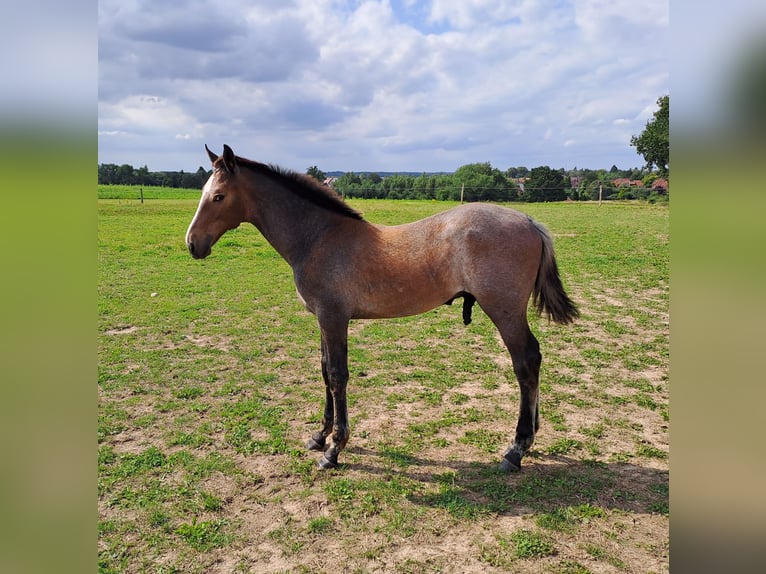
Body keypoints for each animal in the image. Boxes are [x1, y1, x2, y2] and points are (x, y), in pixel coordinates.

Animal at [186, 146, 580, 474]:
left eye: (219, 196)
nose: (192, 244)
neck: (318, 238)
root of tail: (529, 221)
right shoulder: (323, 320)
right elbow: (324, 370)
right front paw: (319, 435)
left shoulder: (334, 318)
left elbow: (337, 376)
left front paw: (334, 449)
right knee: (534, 359)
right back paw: (531, 436)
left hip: (505, 311)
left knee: (526, 362)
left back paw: (516, 448)